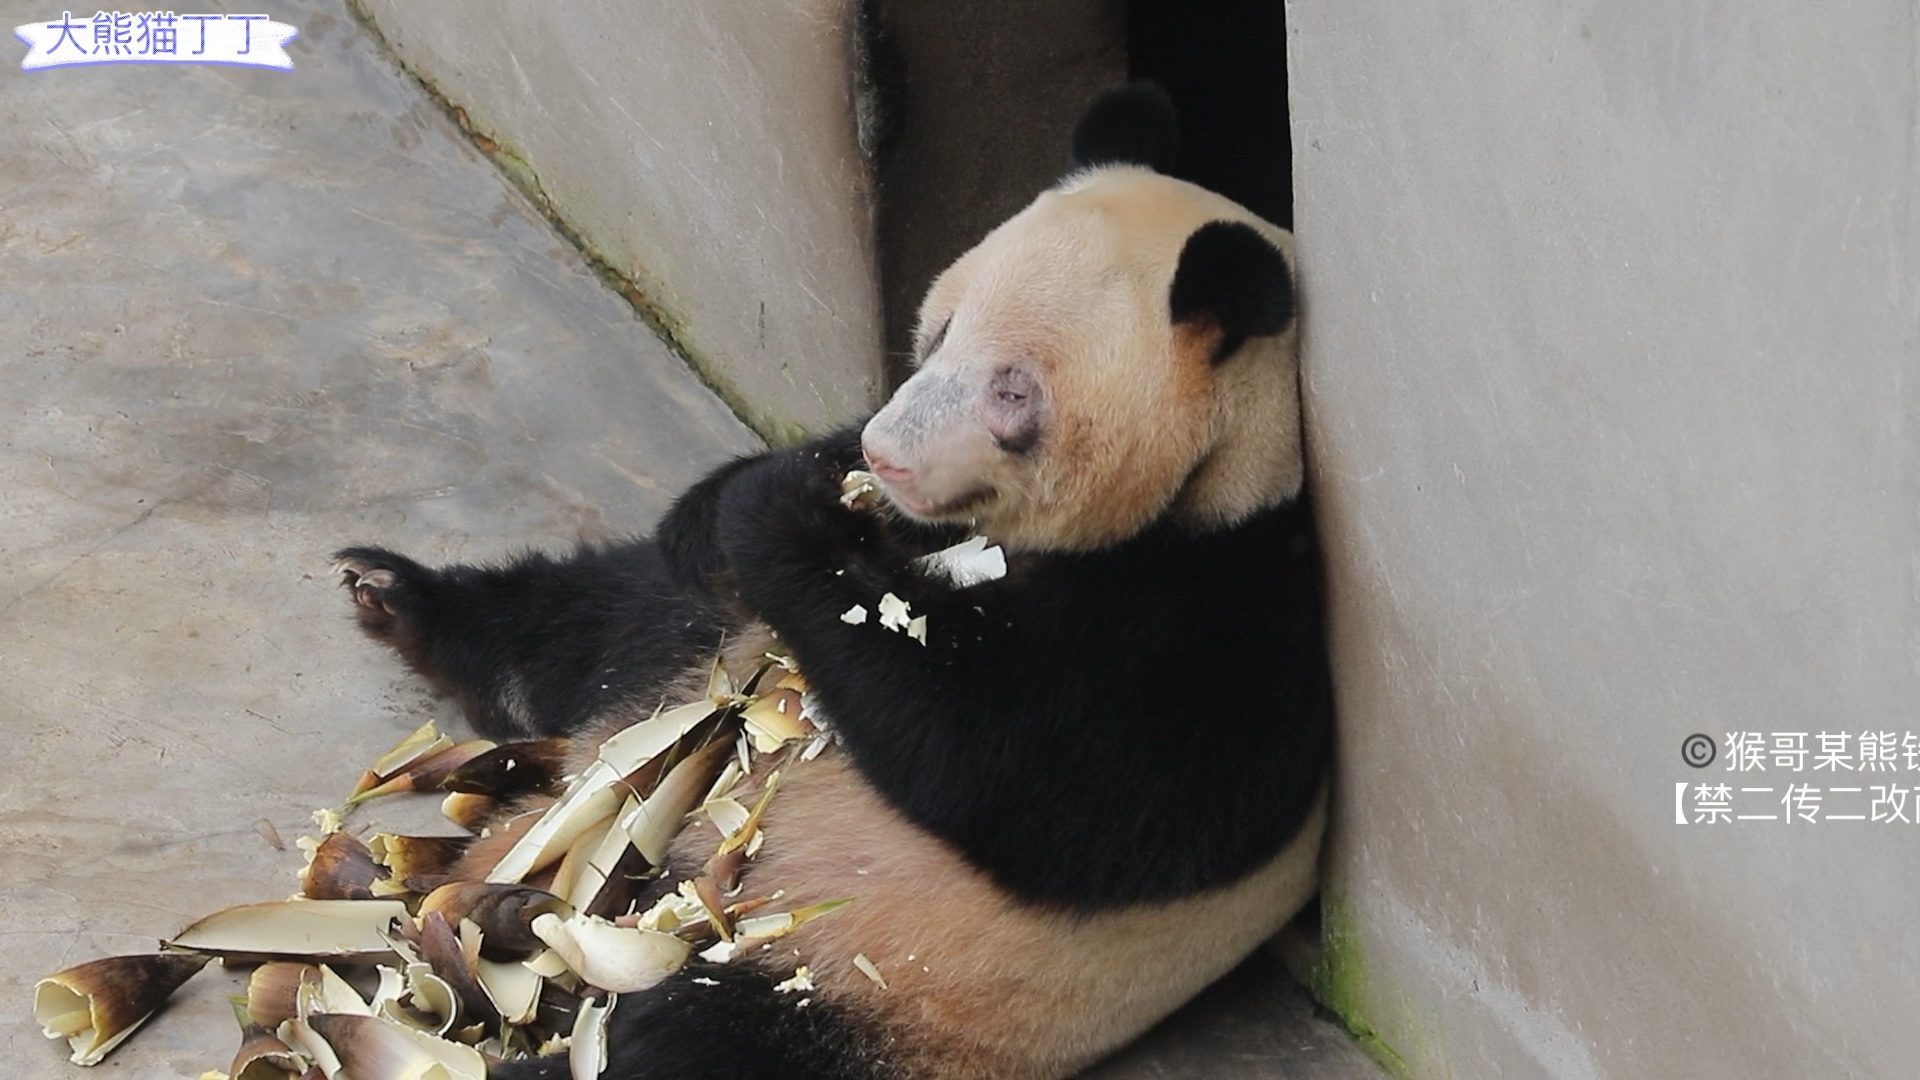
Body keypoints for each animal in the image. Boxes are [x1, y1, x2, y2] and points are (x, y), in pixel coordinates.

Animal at [330, 84, 1328, 1076]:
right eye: (939, 331)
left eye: (1012, 391)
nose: (887, 457)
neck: (1225, 472)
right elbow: (724, 535)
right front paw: (732, 505)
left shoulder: (1217, 616)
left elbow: (1025, 769)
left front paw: (779, 518)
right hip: (685, 689)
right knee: (600, 620)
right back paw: (400, 601)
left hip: (854, 976)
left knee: (686, 1039)